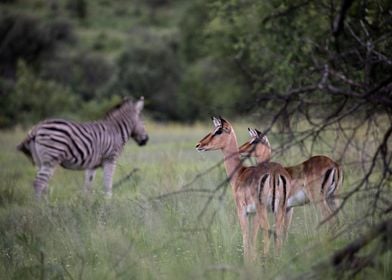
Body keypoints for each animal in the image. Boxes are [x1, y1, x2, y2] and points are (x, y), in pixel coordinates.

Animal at [16, 96, 149, 199]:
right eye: (143, 122)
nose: (146, 140)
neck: (115, 131)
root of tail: (37, 127)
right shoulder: (111, 159)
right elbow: (107, 184)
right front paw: (107, 203)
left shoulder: (92, 165)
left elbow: (88, 186)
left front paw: (87, 205)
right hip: (51, 158)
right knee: (39, 183)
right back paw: (40, 208)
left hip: (40, 161)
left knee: (43, 184)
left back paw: (47, 206)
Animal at [196, 116, 290, 260]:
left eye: (218, 131)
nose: (199, 145)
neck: (240, 172)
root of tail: (275, 174)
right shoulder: (253, 214)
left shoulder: (242, 211)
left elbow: (246, 240)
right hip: (280, 209)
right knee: (279, 232)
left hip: (264, 209)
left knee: (267, 230)